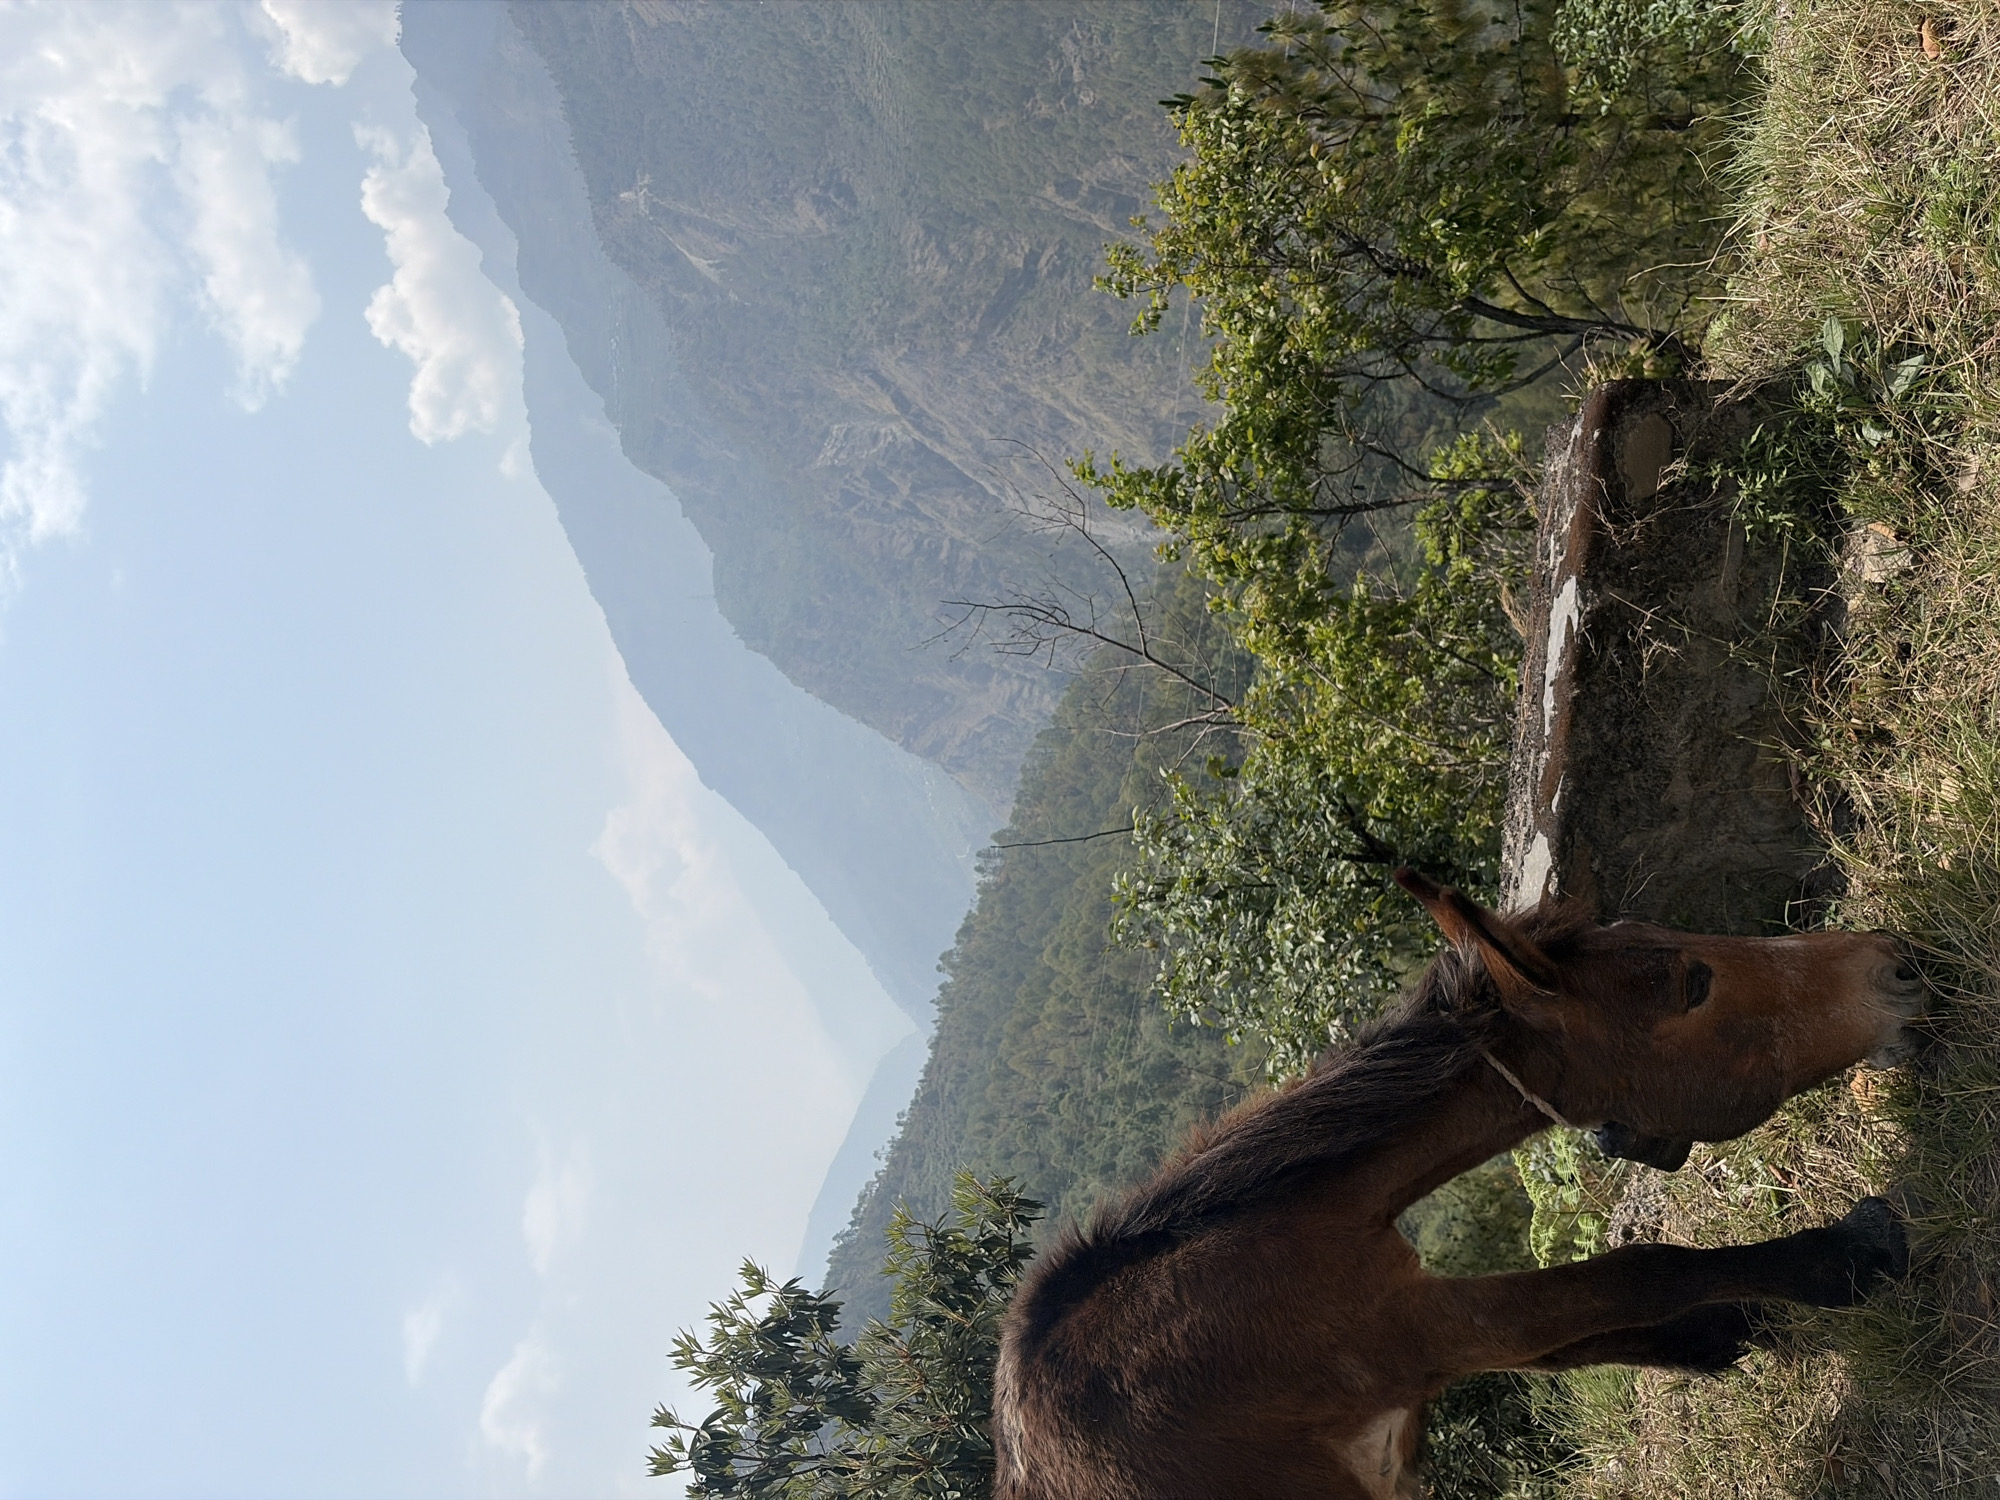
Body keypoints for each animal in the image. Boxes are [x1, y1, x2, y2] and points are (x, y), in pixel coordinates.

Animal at [991, 869, 1926, 1500]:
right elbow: (1635, 1274)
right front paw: (1847, 1257)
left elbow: (1589, 1335)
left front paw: (1737, 1328)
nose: (1895, 961)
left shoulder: (1426, 1361)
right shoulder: (1412, 1332)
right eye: (1693, 983)